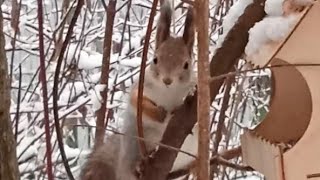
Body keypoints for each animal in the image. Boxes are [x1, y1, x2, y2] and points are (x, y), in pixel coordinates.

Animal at [80, 1, 198, 179]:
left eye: (186, 64)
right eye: (155, 59)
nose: (167, 80)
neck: (169, 91)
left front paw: (180, 104)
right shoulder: (142, 87)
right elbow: (137, 102)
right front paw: (159, 114)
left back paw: (195, 166)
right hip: (134, 143)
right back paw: (139, 166)